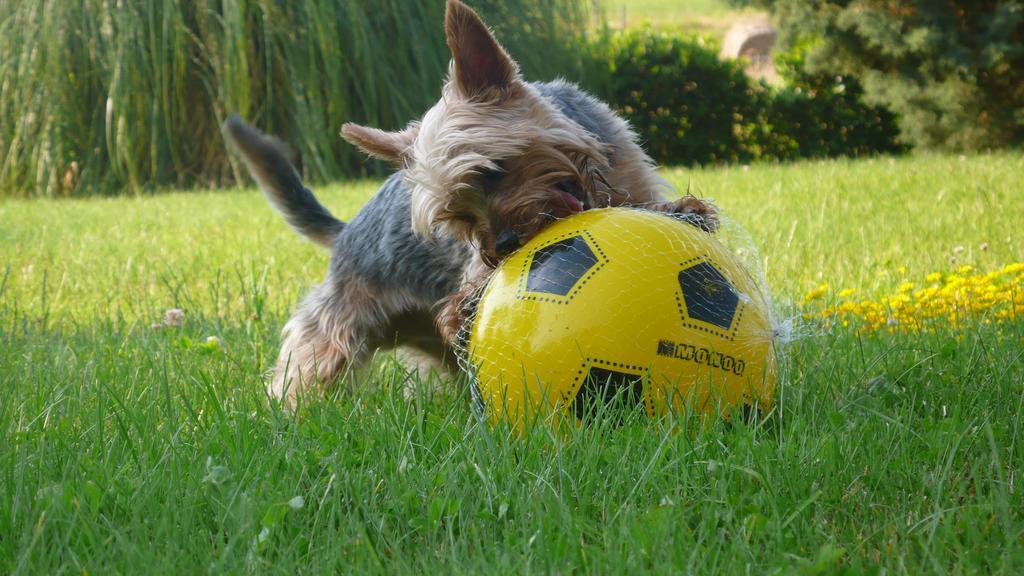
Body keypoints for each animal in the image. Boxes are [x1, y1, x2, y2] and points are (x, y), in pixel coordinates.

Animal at [224, 0, 720, 405]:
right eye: (456, 214)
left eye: (490, 171)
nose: (505, 245)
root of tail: (347, 232)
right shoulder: (471, 266)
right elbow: (471, 284)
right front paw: (467, 300)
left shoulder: (629, 176)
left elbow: (645, 202)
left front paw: (682, 210)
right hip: (339, 321)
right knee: (308, 364)